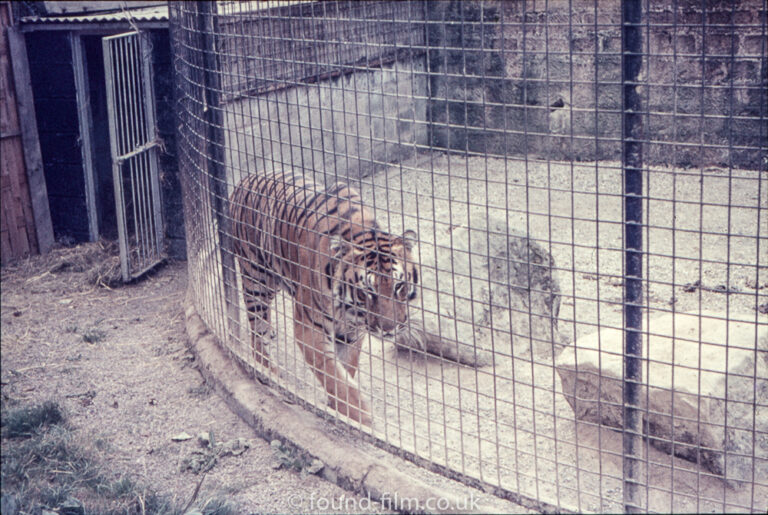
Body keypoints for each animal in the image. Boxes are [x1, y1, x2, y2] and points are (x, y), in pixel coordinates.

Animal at [228, 171, 420, 426]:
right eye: (367, 292)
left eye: (399, 286)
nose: (390, 329)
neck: (349, 308)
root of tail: (244, 180)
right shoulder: (309, 327)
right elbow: (333, 376)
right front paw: (361, 418)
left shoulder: (352, 333)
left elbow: (346, 369)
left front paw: (339, 407)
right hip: (256, 279)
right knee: (256, 332)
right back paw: (268, 370)